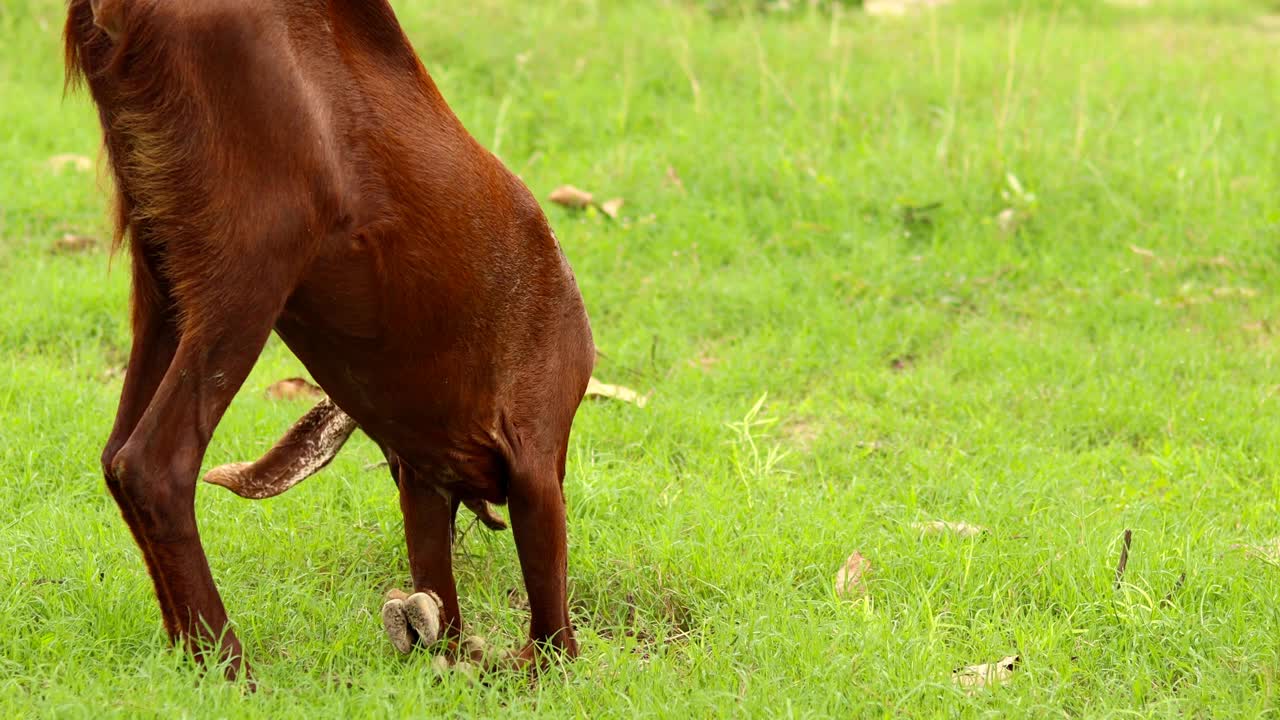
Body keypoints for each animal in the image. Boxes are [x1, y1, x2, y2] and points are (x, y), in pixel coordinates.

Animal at [64, 0, 593, 676]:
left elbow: (440, 592)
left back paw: (190, 654)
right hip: (260, 249)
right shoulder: (534, 443)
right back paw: (231, 669)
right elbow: (552, 639)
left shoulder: (424, 468)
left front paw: (441, 645)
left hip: (160, 260)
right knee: (152, 463)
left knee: (114, 455)